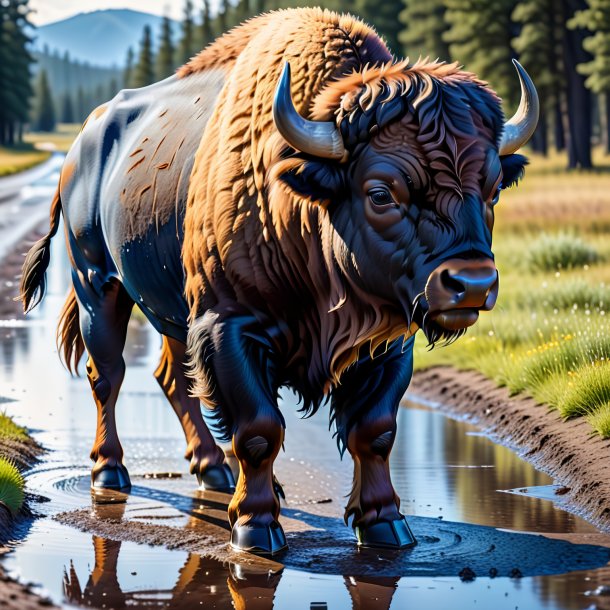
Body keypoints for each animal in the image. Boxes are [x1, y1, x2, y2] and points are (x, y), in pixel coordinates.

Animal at [20, 7, 536, 552]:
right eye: (381, 192)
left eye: (493, 189)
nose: (472, 284)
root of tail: (82, 143)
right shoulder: (228, 327)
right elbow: (259, 429)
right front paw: (255, 527)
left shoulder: (390, 339)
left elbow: (374, 430)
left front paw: (385, 523)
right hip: (97, 284)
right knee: (108, 374)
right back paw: (110, 472)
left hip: (169, 309)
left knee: (172, 378)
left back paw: (212, 470)